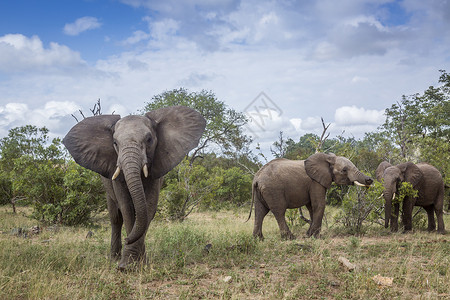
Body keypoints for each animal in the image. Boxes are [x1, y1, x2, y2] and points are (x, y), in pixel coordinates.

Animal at [62, 105, 206, 270]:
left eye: (149, 140)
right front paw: (127, 265)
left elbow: (149, 207)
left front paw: (139, 263)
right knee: (115, 218)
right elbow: (126, 208)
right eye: (115, 143)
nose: (127, 239)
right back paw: (114, 257)